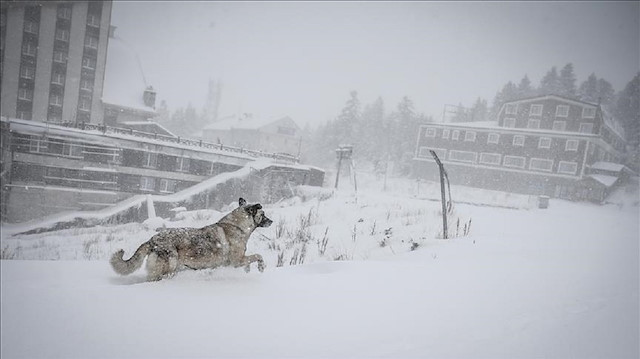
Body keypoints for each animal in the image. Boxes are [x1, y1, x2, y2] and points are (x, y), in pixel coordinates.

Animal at [111, 200, 272, 282]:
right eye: (263, 214)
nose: (271, 221)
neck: (238, 225)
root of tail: (152, 240)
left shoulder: (239, 261)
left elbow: (250, 260)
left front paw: (248, 269)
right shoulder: (237, 260)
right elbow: (258, 256)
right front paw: (261, 267)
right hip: (169, 267)